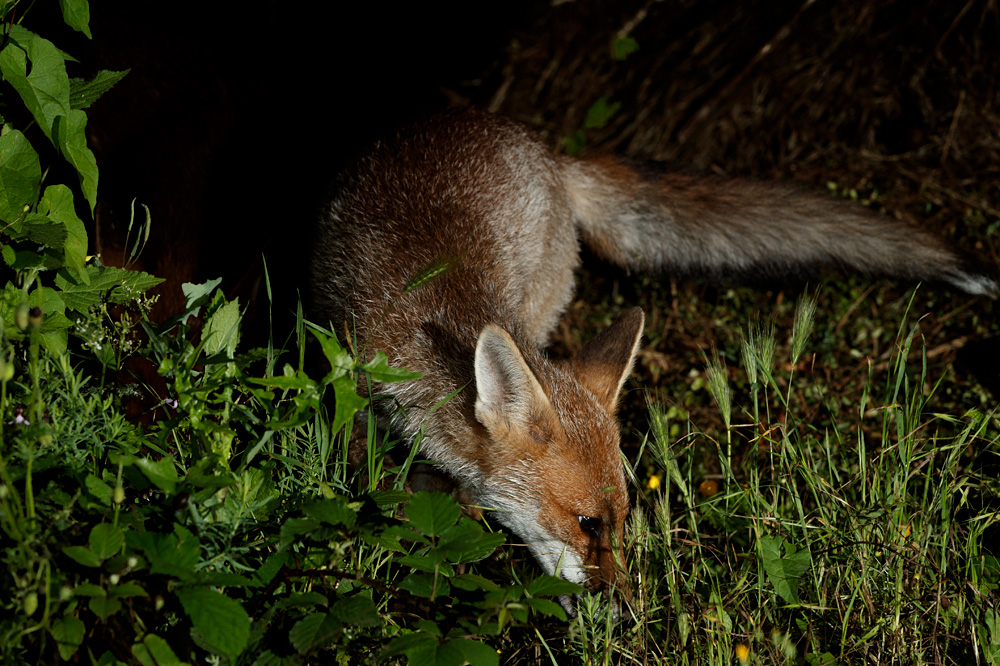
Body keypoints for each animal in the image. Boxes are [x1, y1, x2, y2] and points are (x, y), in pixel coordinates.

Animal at [310, 109, 996, 616]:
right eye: (587, 524)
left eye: (622, 520)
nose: (626, 611)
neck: (425, 310)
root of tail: (539, 147)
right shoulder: (343, 368)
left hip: (544, 299)